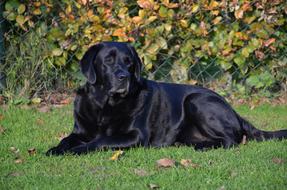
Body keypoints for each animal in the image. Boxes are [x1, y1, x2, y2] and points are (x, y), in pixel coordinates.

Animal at [46, 41, 286, 154]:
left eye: (129, 63)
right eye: (108, 60)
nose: (124, 77)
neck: (103, 106)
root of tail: (233, 110)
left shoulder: (135, 136)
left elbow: (100, 141)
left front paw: (77, 150)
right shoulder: (79, 131)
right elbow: (65, 139)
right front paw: (55, 150)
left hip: (196, 100)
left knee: (231, 140)